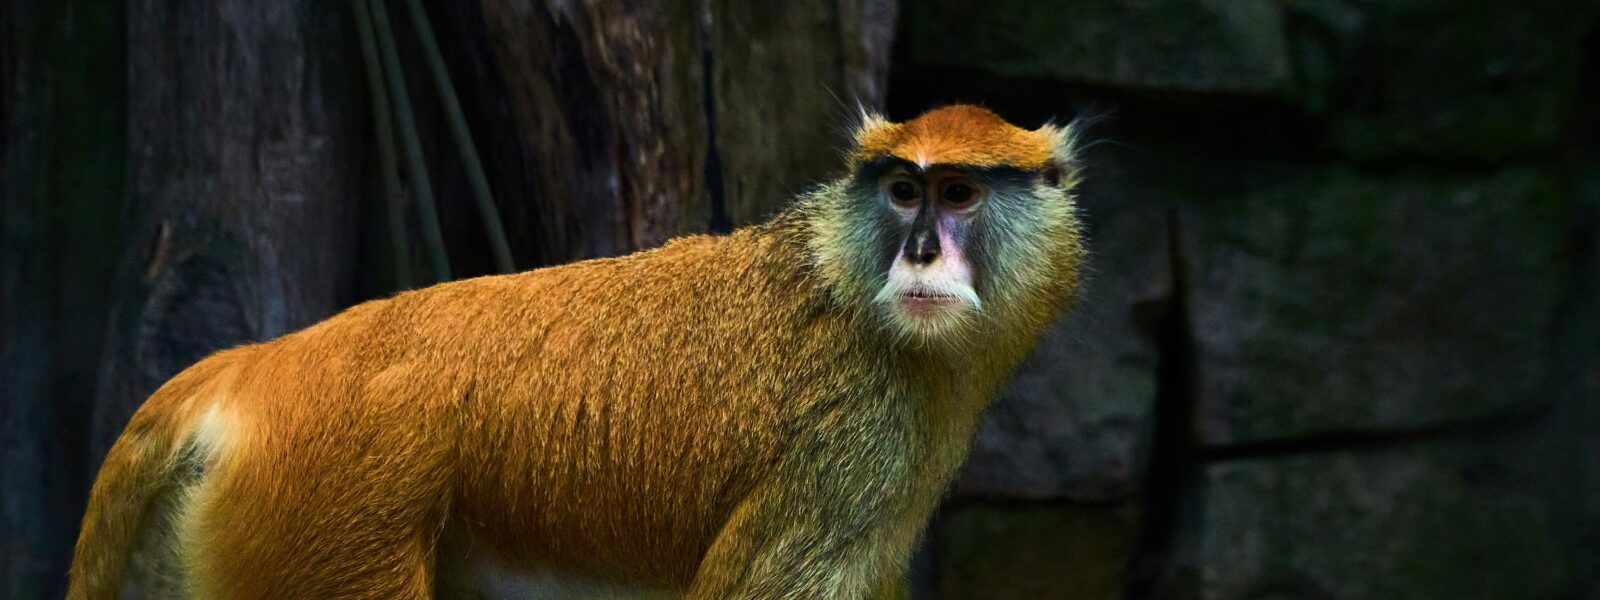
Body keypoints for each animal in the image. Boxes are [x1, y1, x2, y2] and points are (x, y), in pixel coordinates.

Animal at [67, 104, 1087, 600]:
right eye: (905, 191)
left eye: (959, 194)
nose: (920, 250)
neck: (840, 271)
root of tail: (261, 362)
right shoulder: (852, 449)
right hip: (329, 510)